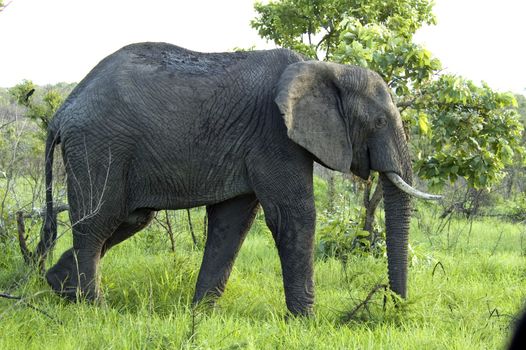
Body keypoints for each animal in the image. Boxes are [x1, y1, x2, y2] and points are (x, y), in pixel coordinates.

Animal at [41, 42, 440, 316]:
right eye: (378, 122)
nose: (392, 306)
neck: (328, 69)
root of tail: (64, 109)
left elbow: (231, 224)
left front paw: (201, 315)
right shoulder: (274, 135)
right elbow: (294, 217)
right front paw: (307, 322)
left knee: (128, 219)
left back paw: (60, 289)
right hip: (100, 146)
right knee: (97, 222)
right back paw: (93, 308)